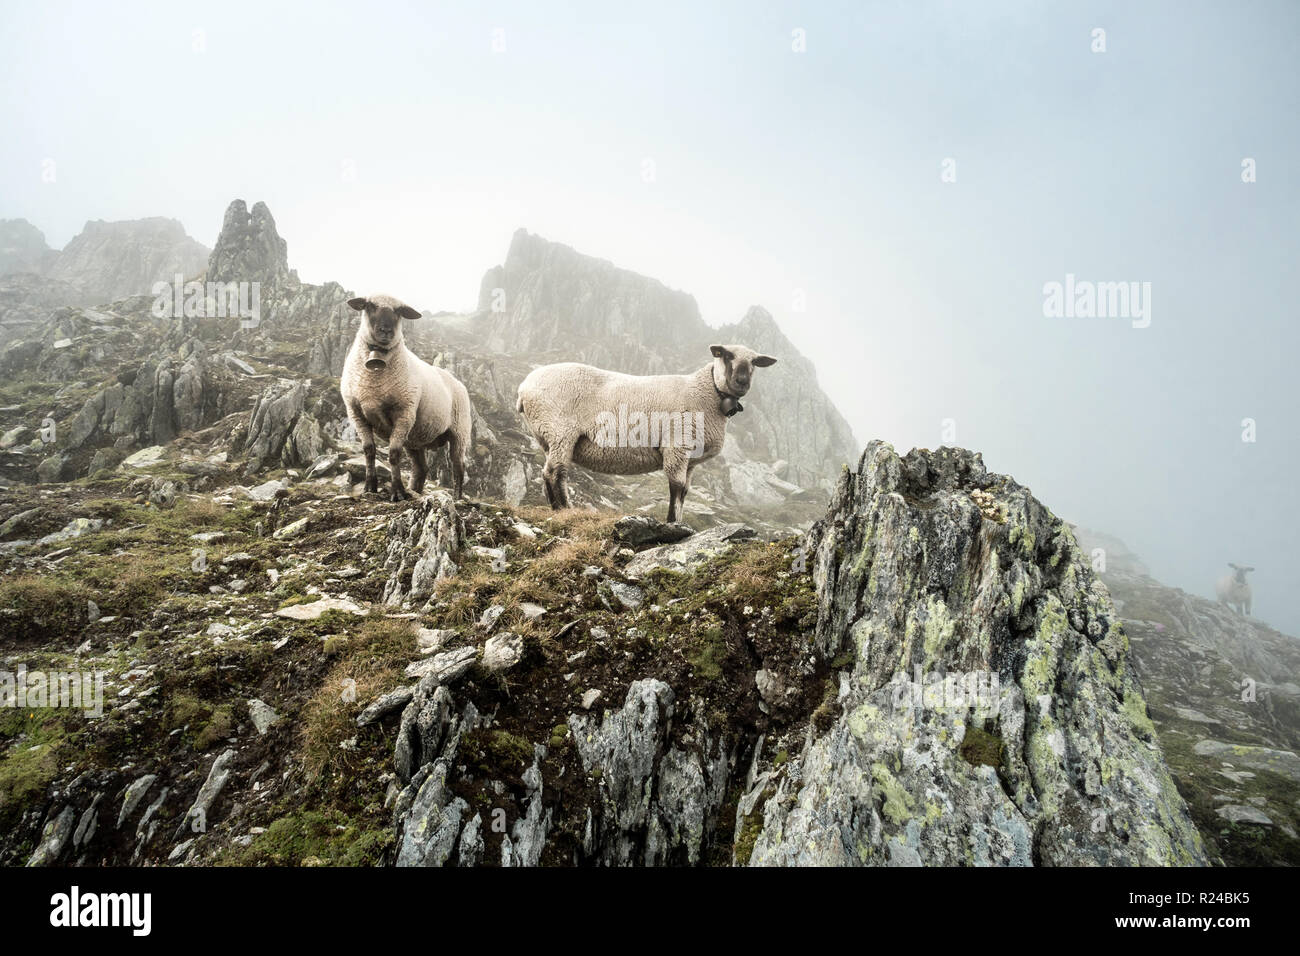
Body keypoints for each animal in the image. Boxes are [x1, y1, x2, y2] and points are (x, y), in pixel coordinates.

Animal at [340, 294, 471, 501]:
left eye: (399, 311)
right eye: (370, 306)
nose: (386, 331)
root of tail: (458, 382)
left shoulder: (403, 413)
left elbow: (394, 454)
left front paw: (397, 492)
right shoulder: (356, 414)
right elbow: (369, 451)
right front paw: (369, 487)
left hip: (459, 432)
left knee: (458, 466)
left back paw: (456, 497)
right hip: (415, 437)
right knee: (421, 469)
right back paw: (415, 491)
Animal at [516, 344, 777, 522]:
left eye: (754, 362)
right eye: (726, 355)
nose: (741, 381)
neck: (706, 391)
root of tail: (523, 388)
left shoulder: (691, 460)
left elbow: (685, 492)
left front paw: (679, 521)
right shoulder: (676, 446)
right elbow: (676, 487)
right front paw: (672, 523)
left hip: (552, 438)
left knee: (552, 473)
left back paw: (559, 508)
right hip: (561, 431)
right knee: (553, 473)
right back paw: (564, 510)